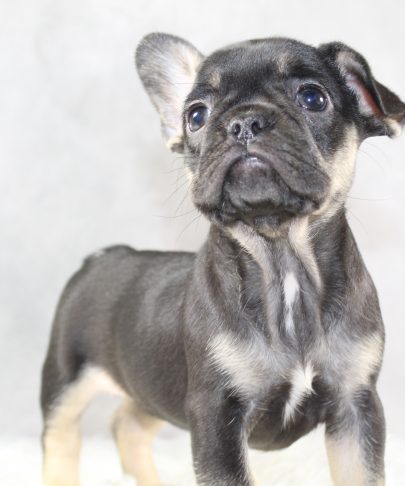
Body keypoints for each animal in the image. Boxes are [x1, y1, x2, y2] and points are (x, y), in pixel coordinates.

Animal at [40, 33, 405, 486]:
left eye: (313, 97)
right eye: (196, 116)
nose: (244, 122)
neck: (282, 258)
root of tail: (102, 256)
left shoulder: (355, 406)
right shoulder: (216, 415)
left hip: (154, 387)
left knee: (128, 424)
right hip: (66, 380)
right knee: (60, 438)